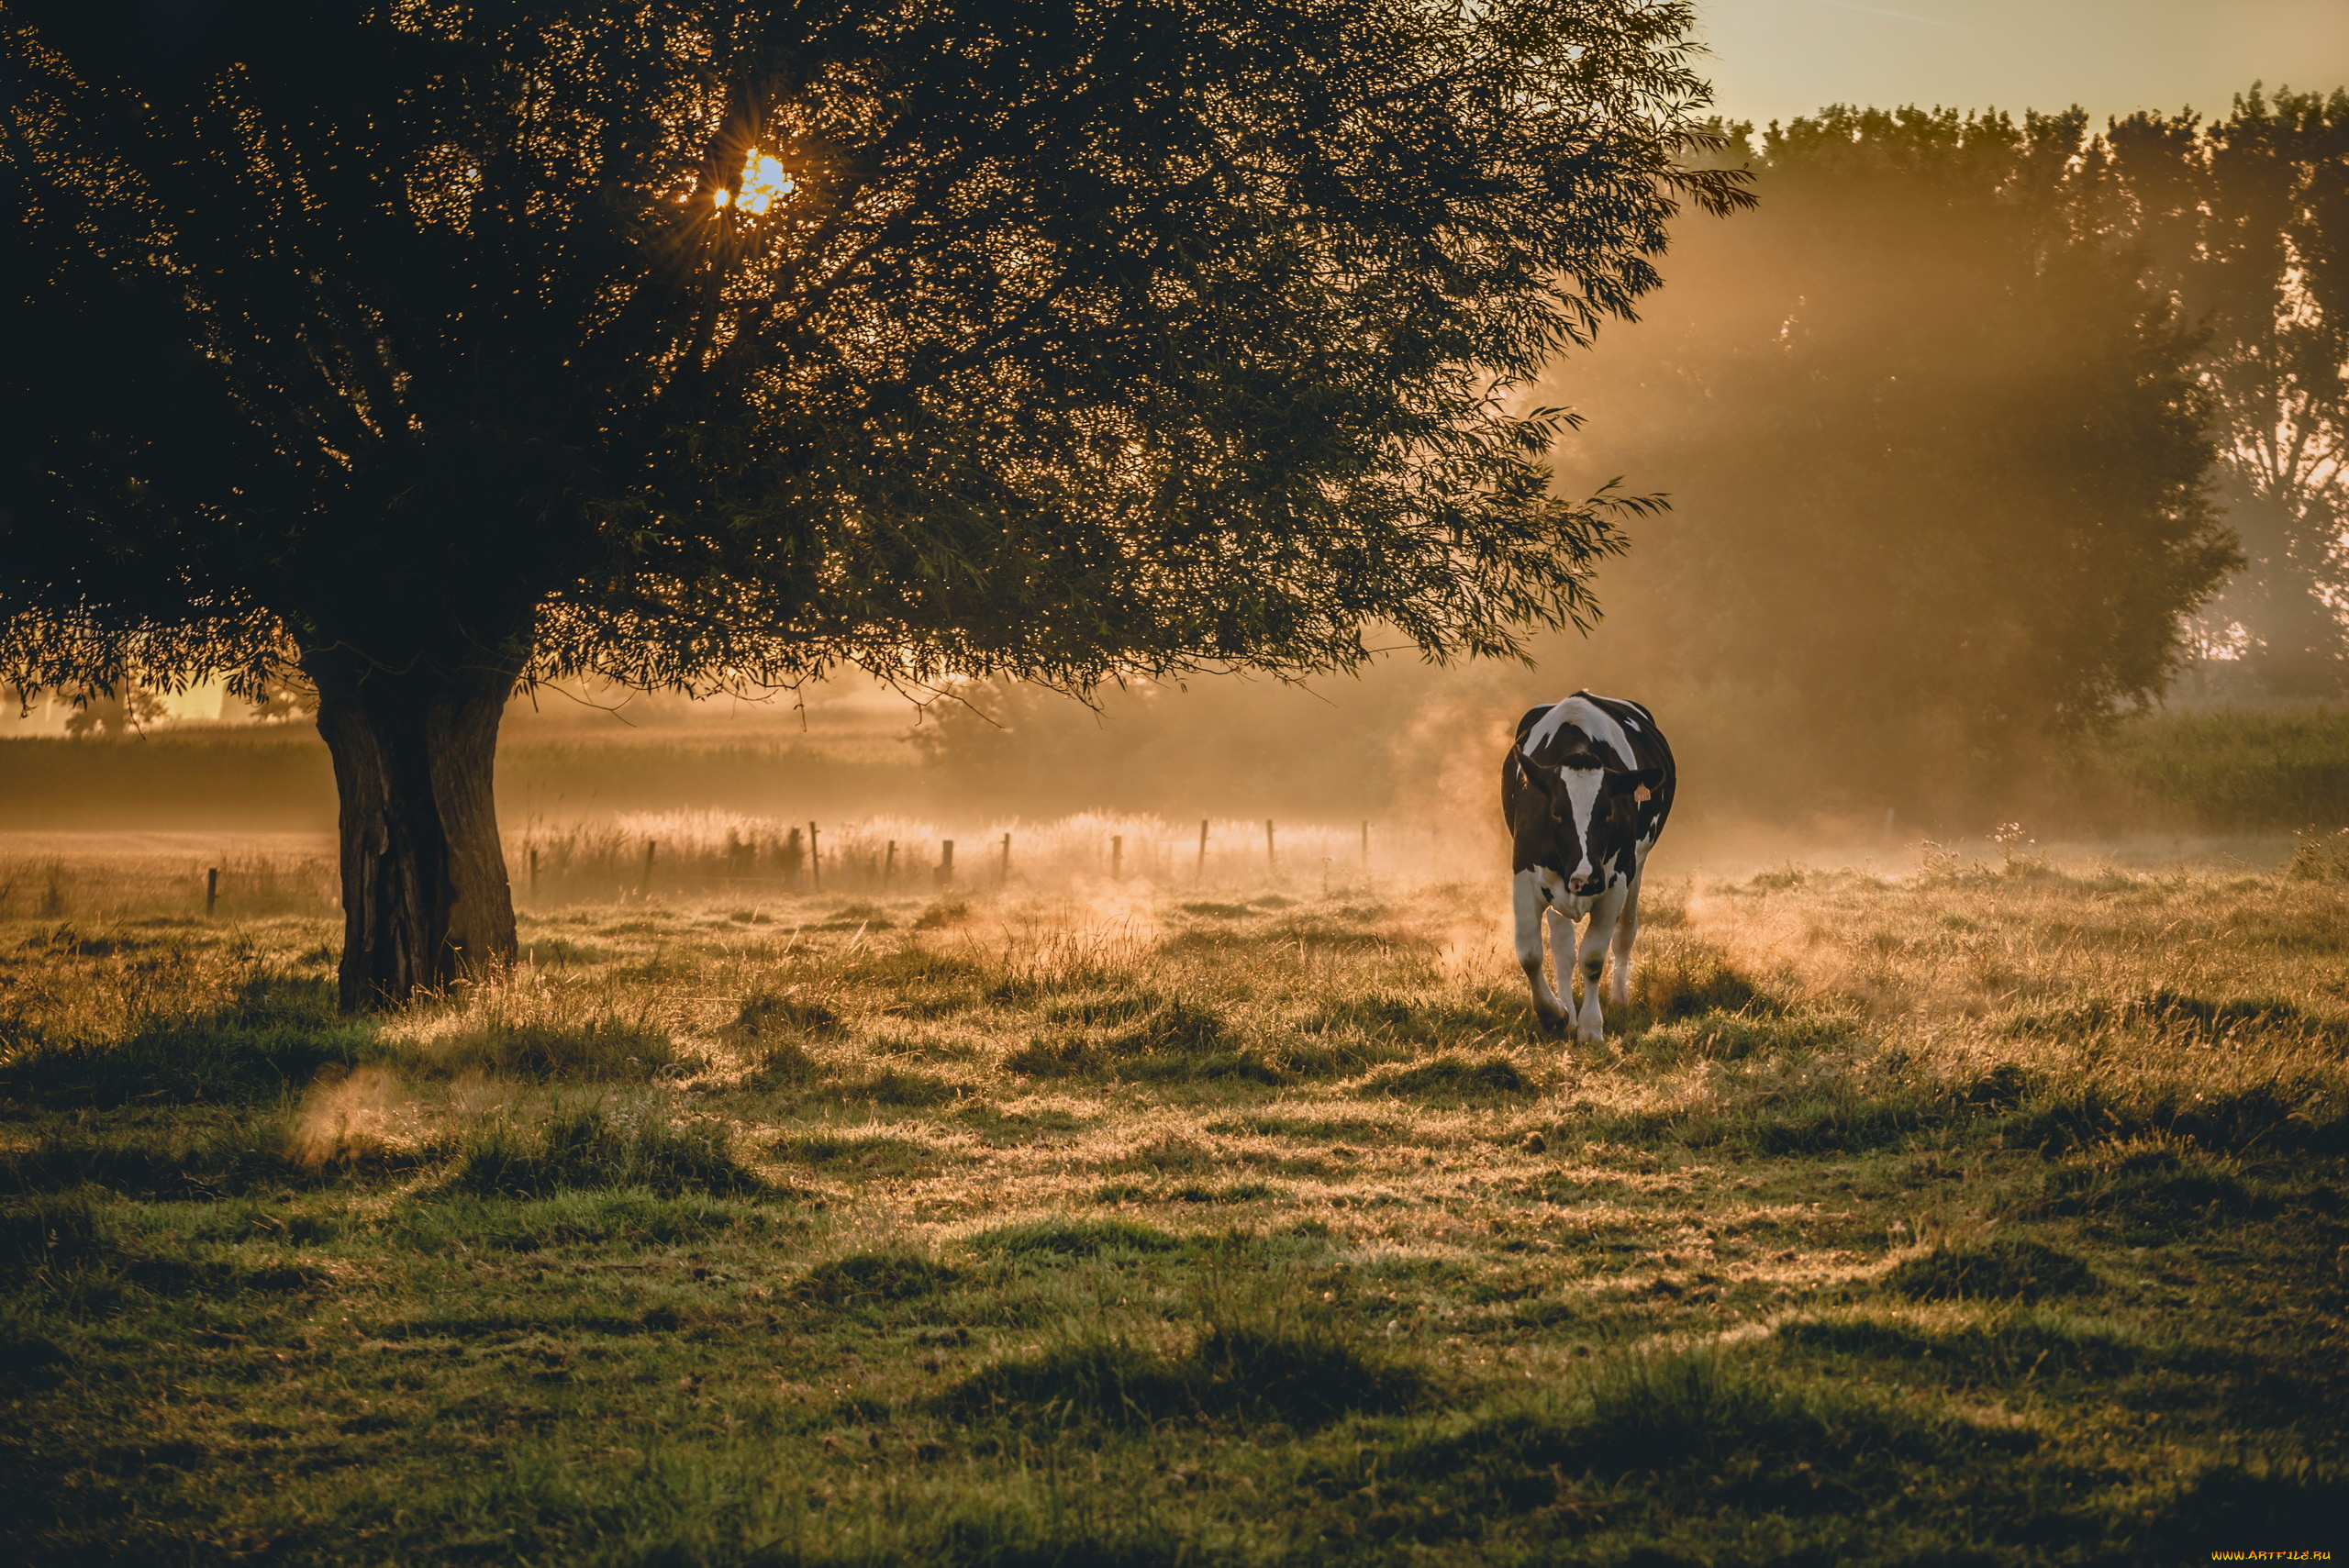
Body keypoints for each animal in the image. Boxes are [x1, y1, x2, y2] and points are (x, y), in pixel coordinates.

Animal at [1503, 690, 1672, 1041]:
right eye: (1556, 812)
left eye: (1608, 813)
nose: (1586, 880)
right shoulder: (1524, 875)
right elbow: (1530, 953)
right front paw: (1555, 1014)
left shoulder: (1616, 881)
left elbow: (1593, 958)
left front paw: (1591, 1028)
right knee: (1563, 949)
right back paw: (1567, 1008)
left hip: (1638, 866)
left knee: (1625, 931)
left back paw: (1618, 998)